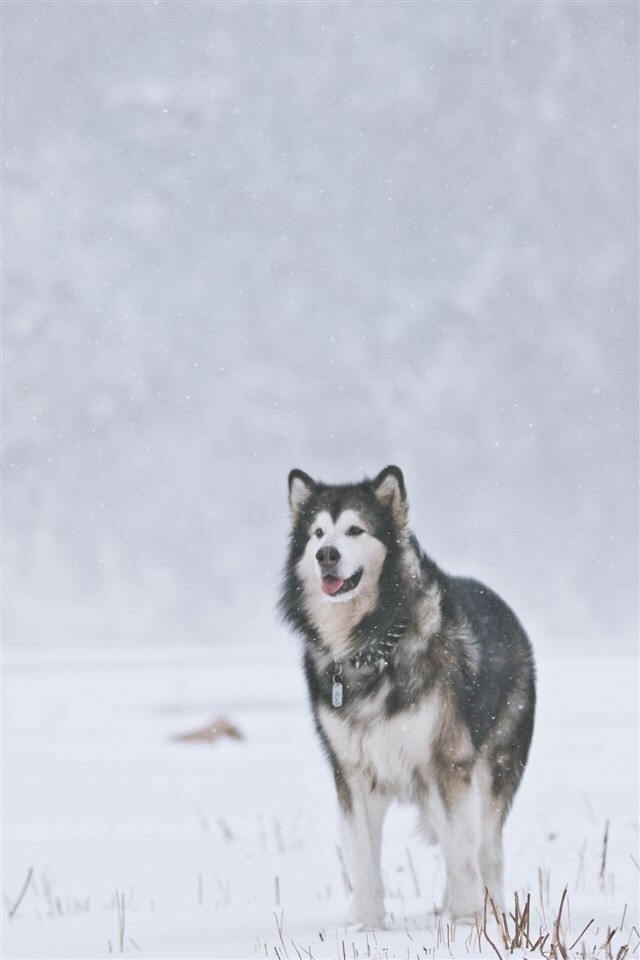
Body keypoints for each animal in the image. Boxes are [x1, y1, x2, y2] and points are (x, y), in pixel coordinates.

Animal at [280, 468, 536, 928]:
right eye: (317, 533)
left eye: (355, 530)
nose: (326, 555)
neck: (370, 646)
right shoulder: (353, 774)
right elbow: (363, 864)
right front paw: (366, 927)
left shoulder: (449, 764)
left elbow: (462, 857)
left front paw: (467, 923)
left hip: (490, 771)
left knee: (485, 852)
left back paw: (489, 912)